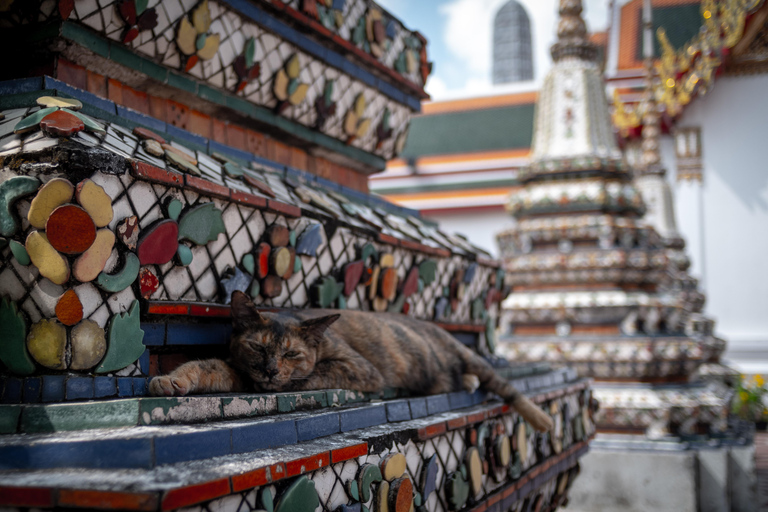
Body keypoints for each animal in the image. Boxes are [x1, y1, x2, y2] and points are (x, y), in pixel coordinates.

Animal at [150, 290, 556, 430]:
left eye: (292, 353)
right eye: (258, 348)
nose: (270, 370)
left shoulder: (358, 369)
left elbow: (313, 374)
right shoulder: (236, 370)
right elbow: (207, 366)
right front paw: (171, 380)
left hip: (470, 359)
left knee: (504, 387)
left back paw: (542, 420)